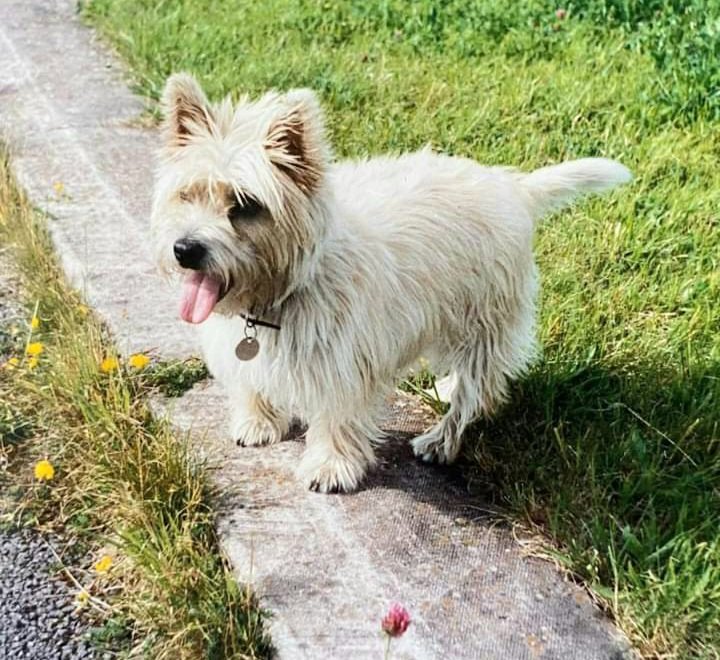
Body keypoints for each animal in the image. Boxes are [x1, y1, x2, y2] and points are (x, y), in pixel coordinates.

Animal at [150, 75, 632, 492]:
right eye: (188, 194)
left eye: (246, 205)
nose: (185, 249)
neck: (279, 291)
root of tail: (512, 187)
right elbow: (251, 380)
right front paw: (258, 419)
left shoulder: (344, 359)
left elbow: (338, 412)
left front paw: (331, 464)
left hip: (482, 319)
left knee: (479, 390)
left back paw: (441, 439)